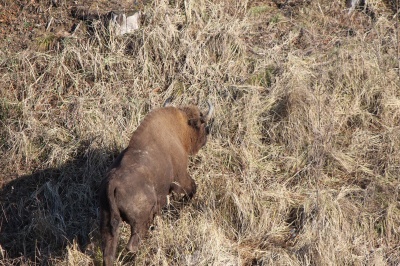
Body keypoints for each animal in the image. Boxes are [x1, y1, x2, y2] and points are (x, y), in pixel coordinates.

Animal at [99, 100, 214, 266]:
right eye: (201, 124)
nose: (207, 134)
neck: (178, 129)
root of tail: (113, 184)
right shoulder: (181, 178)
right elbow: (192, 188)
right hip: (138, 222)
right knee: (132, 245)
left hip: (107, 221)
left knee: (108, 251)